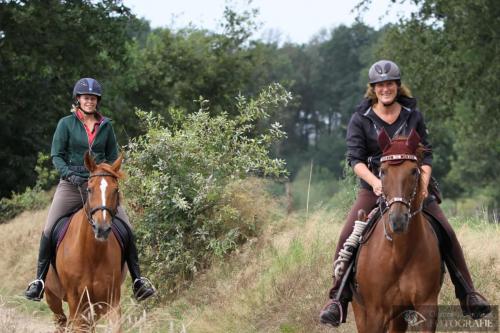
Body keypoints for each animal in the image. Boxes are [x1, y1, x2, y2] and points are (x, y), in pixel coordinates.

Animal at [44, 152, 125, 330]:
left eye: (115, 190)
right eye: (89, 189)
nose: (102, 229)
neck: (91, 255)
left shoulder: (112, 301)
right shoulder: (76, 304)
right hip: (53, 299)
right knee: (61, 322)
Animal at [352, 128, 442, 330]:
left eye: (414, 171)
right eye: (382, 171)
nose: (398, 220)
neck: (400, 253)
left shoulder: (426, 306)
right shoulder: (375, 313)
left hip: (398, 317)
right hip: (361, 311)